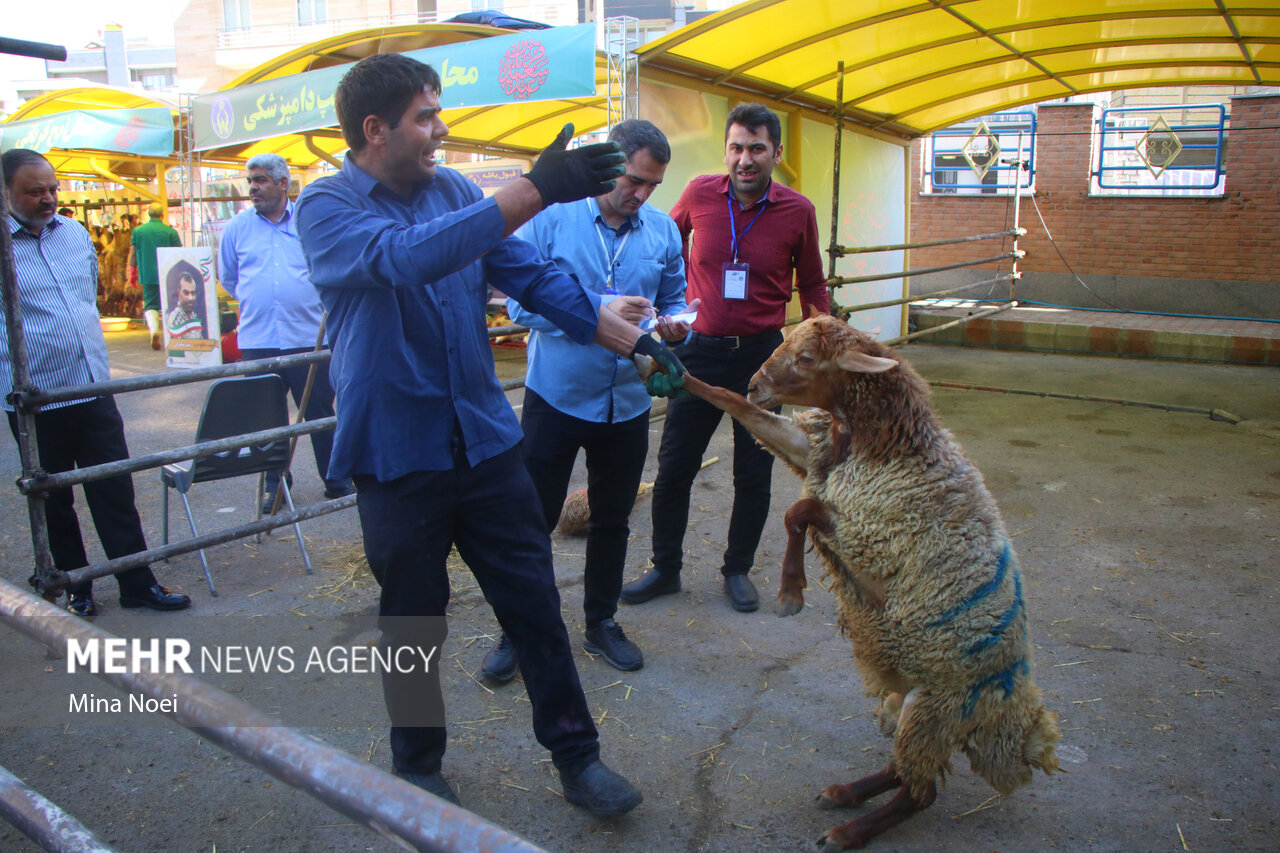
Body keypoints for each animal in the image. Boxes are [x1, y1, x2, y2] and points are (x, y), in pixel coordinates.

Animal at [670, 315, 1059, 845]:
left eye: (807, 358)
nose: (755, 383)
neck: (887, 445)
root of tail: (1013, 727)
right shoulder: (813, 453)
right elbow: (737, 409)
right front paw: (668, 370)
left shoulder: (874, 535)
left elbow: (800, 511)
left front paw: (790, 593)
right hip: (912, 708)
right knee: (904, 770)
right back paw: (844, 794)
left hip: (934, 709)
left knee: (920, 792)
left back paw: (848, 831)